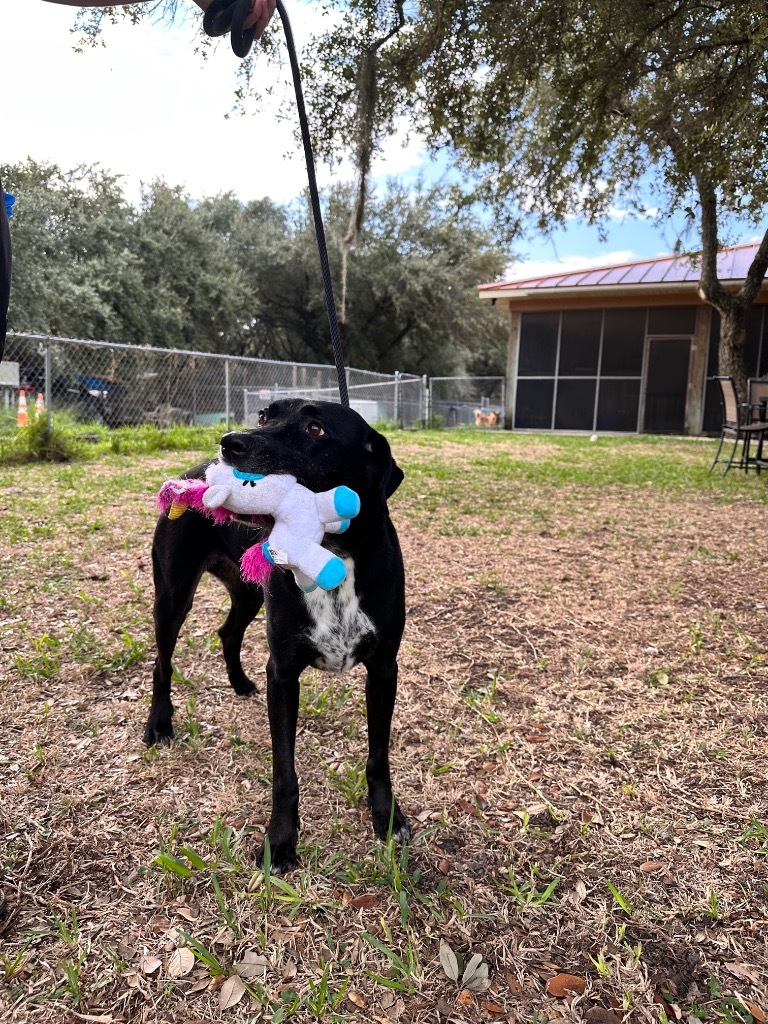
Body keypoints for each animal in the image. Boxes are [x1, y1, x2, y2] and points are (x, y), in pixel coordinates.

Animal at [144, 399, 409, 872]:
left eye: (316, 428)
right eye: (265, 416)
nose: (230, 443)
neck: (331, 552)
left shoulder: (383, 670)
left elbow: (378, 756)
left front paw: (388, 818)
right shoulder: (284, 674)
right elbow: (284, 770)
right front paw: (281, 841)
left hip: (248, 593)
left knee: (227, 631)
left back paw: (239, 683)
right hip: (173, 595)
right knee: (163, 661)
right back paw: (159, 723)